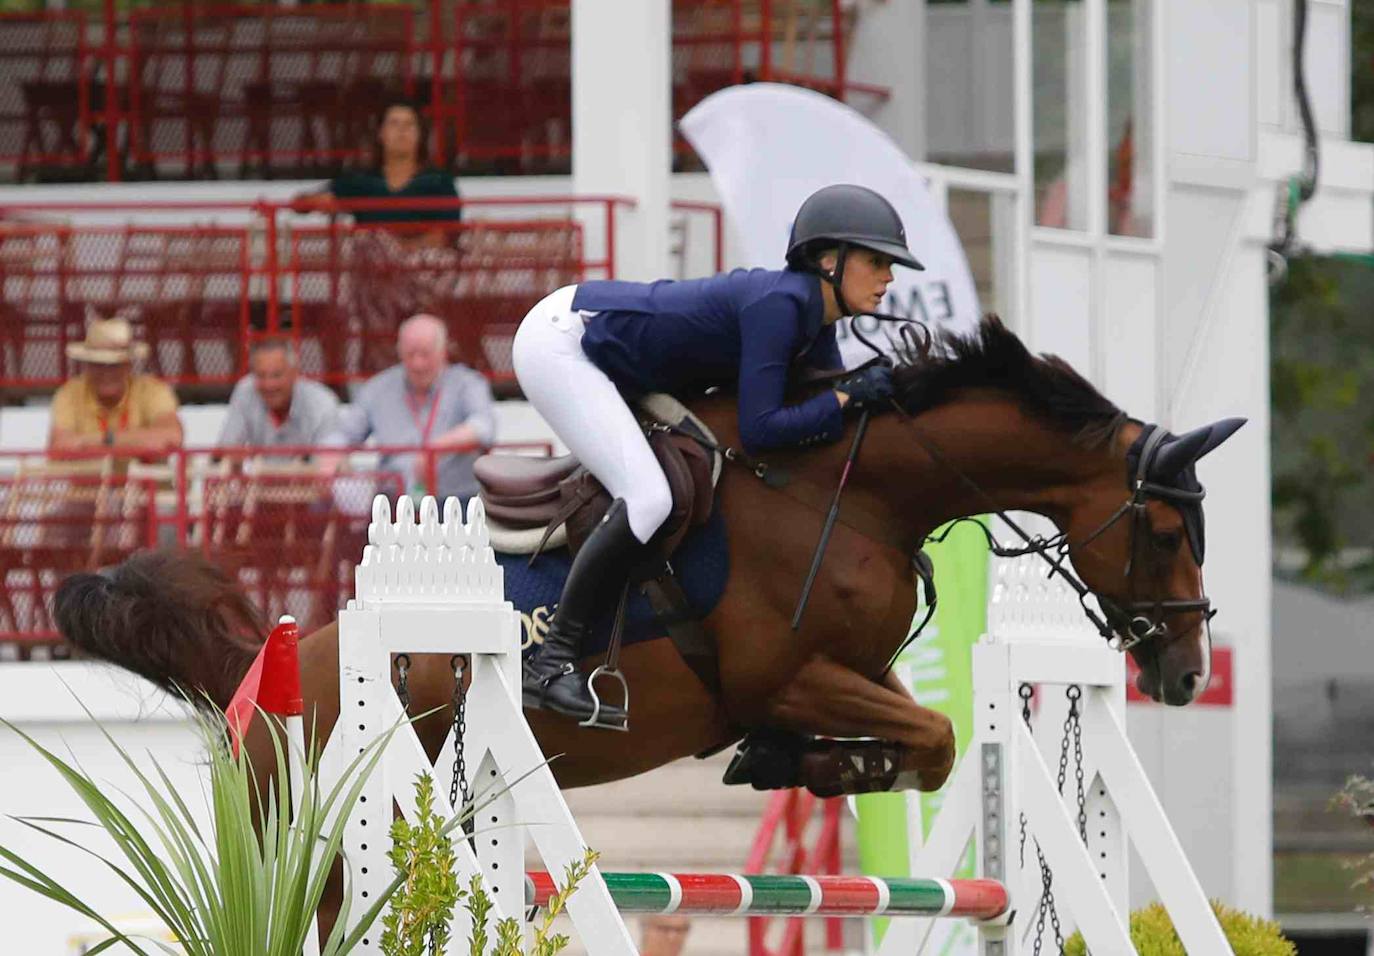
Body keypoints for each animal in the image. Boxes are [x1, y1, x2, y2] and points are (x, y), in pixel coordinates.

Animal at [48, 315, 1242, 934]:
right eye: (1164, 528)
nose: (1187, 669)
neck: (858, 488)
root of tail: (267, 669)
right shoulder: (778, 672)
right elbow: (935, 736)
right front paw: (817, 758)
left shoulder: (851, 671)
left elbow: (932, 742)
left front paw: (811, 763)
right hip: (313, 838)